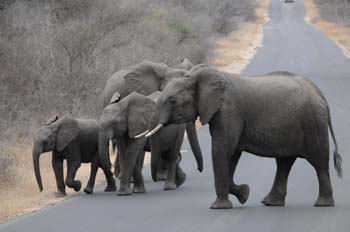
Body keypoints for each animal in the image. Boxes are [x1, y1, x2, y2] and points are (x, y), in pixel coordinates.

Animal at [147, 66, 342, 208]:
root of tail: (321, 95)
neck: (195, 77)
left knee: (318, 161)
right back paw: (270, 202)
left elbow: (222, 150)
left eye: (172, 100)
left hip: (312, 123)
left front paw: (219, 207)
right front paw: (244, 194)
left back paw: (323, 204)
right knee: (284, 163)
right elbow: (232, 154)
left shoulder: (228, 111)